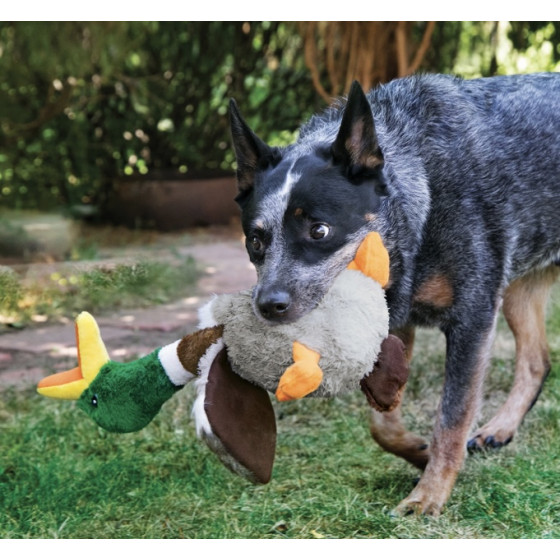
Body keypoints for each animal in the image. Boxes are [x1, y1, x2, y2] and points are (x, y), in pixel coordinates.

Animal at [226, 74, 560, 516]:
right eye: (255, 241)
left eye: (319, 230)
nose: (268, 305)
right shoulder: (395, 322)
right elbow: (381, 421)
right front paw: (418, 452)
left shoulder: (472, 316)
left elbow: (451, 418)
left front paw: (428, 496)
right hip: (520, 291)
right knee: (537, 359)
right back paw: (500, 428)